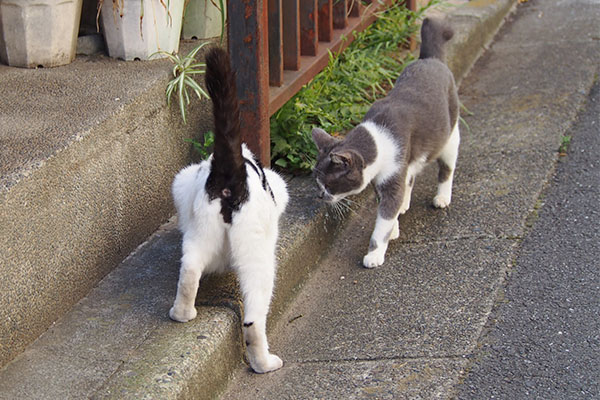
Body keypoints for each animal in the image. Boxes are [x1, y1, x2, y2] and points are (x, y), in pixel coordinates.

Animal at [168, 48, 290, 374]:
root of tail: (230, 171)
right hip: (257, 256)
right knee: (253, 320)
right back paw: (264, 363)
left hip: (199, 232)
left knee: (189, 270)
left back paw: (181, 313)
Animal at [312, 18, 458, 268]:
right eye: (318, 183)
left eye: (329, 185)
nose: (321, 196)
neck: (379, 136)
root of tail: (430, 59)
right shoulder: (384, 179)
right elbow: (389, 207)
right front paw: (394, 228)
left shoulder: (393, 172)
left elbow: (384, 219)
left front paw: (374, 254)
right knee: (410, 177)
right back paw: (406, 203)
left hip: (449, 136)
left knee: (446, 169)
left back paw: (442, 198)